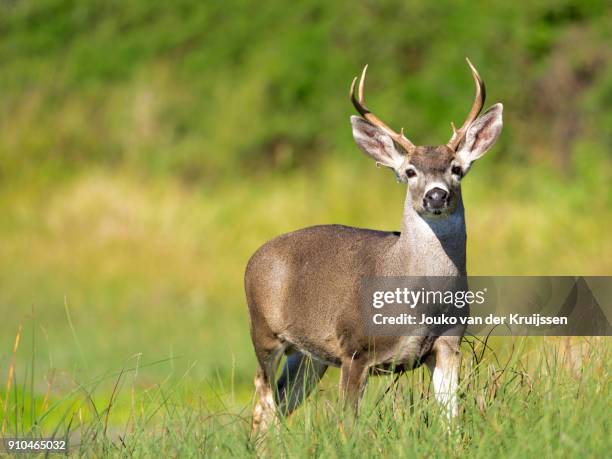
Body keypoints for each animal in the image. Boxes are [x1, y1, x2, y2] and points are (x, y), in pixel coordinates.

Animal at [244, 59, 502, 434]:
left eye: (456, 168)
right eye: (410, 171)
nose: (436, 195)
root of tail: (254, 256)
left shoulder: (448, 344)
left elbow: (451, 419)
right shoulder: (354, 347)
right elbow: (347, 425)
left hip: (309, 355)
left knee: (281, 399)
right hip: (264, 332)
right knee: (262, 400)